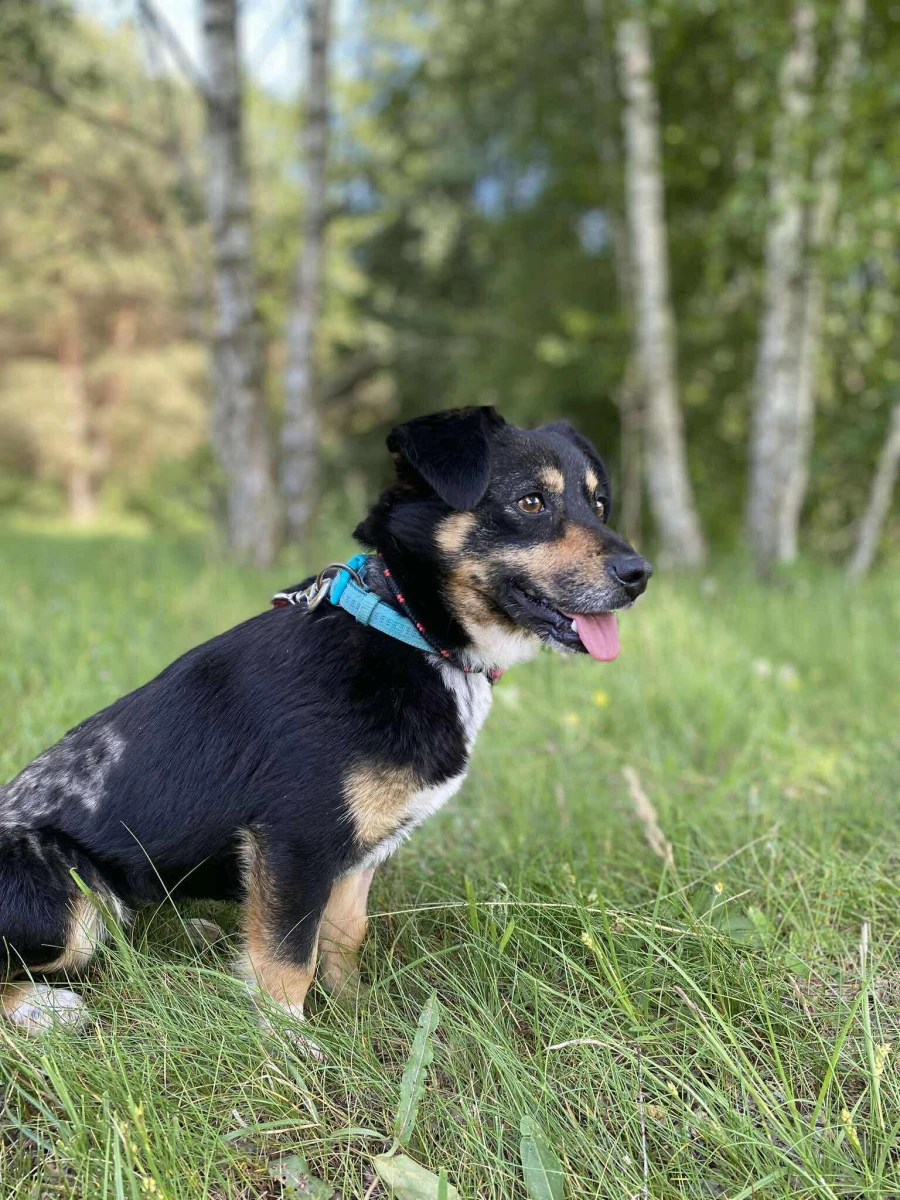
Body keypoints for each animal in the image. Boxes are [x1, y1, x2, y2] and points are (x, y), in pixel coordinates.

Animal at [0, 407, 651, 1034]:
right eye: (530, 502)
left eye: (598, 503)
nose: (639, 575)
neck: (407, 628)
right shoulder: (296, 840)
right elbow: (287, 958)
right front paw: (289, 1044)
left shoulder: (358, 850)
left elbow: (341, 936)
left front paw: (352, 1009)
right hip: (71, 896)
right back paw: (44, 1009)